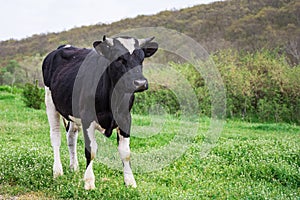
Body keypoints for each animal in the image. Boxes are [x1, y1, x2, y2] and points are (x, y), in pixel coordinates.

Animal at [42, 35, 159, 190]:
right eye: (118, 59)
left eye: (142, 59)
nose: (140, 83)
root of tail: (63, 47)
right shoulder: (87, 119)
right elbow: (90, 151)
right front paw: (89, 182)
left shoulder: (125, 118)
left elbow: (126, 153)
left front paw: (130, 182)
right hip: (50, 102)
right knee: (55, 137)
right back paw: (57, 171)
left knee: (71, 137)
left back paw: (74, 167)